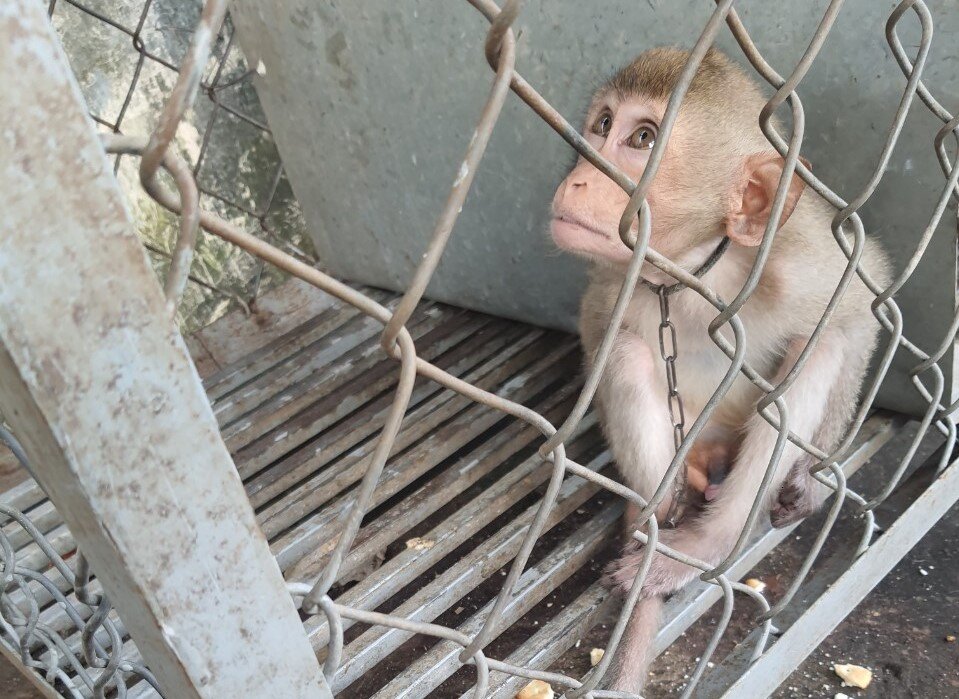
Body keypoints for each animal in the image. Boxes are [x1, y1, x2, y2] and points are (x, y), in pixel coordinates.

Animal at [549, 47, 891, 692]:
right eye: (604, 125)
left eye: (643, 138)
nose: (577, 178)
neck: (692, 270)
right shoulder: (616, 279)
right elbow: (602, 336)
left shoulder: (793, 256)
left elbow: (858, 310)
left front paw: (811, 480)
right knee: (627, 351)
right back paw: (659, 520)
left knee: (815, 351)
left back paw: (711, 542)